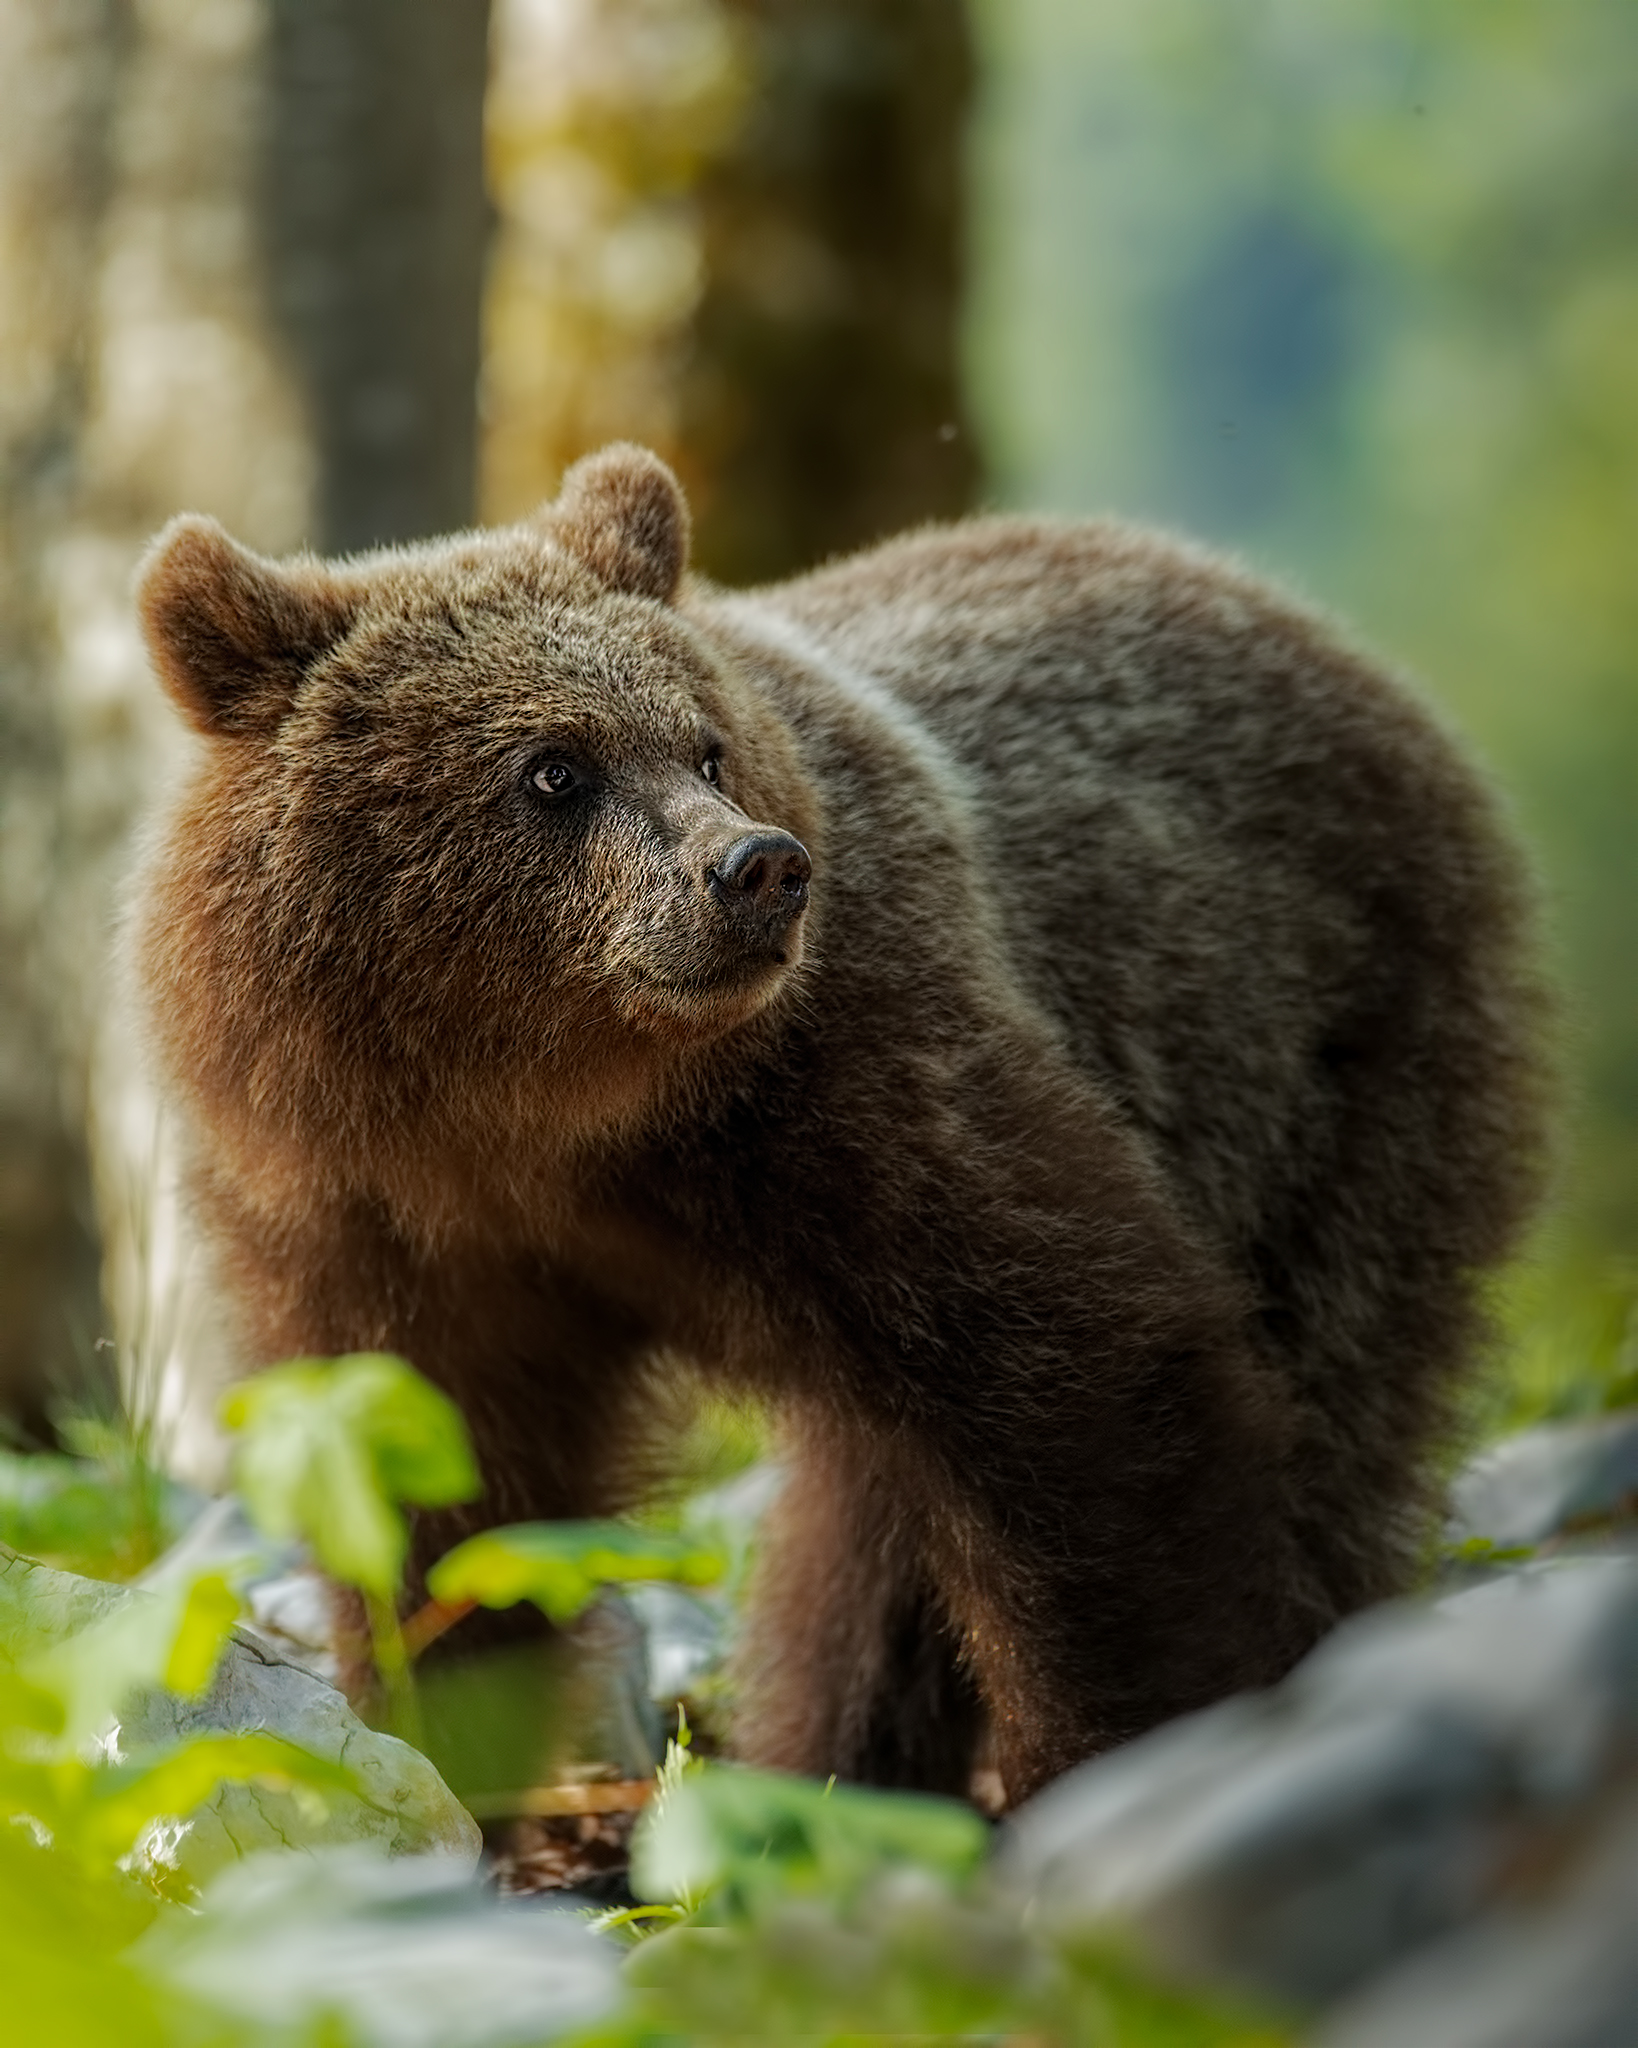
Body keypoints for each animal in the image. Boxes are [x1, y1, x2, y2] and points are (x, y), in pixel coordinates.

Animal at [130, 443, 1550, 1806]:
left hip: (1333, 1070)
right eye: (553, 767)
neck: (541, 1115)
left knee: (1329, 1393)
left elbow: (1100, 1379)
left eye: (703, 745)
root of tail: (1319, 631)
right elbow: (435, 1488)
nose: (755, 868)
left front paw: (1125, 1747)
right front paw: (443, 1742)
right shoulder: (354, 1207)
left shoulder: (858, 1087)